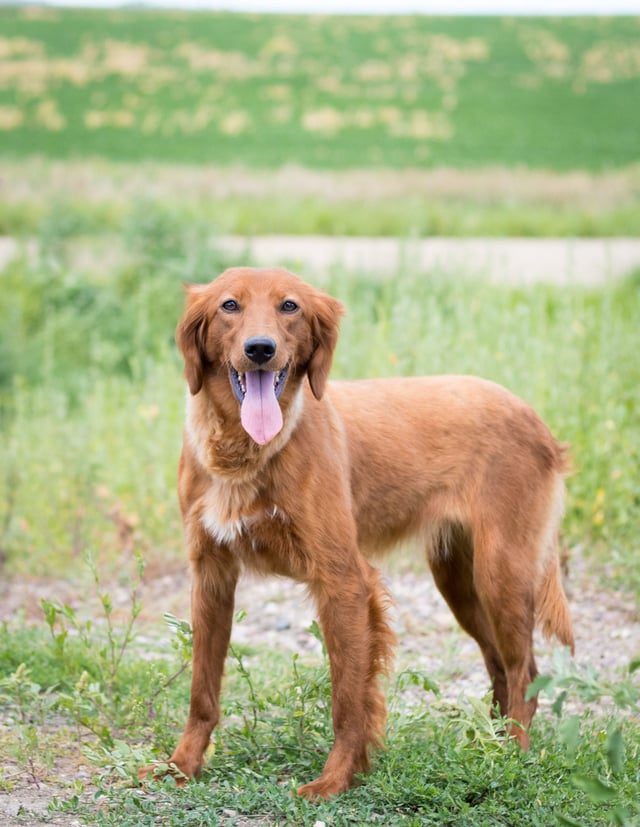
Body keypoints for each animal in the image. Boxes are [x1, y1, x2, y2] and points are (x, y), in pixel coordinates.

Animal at [141, 268, 576, 800]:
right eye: (229, 305)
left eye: (289, 306)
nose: (260, 349)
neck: (247, 453)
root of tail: (533, 416)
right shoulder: (211, 575)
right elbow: (202, 692)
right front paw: (182, 765)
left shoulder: (344, 580)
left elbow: (349, 698)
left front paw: (336, 779)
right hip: (458, 580)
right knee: (499, 667)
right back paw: (486, 746)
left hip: (501, 573)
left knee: (524, 672)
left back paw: (511, 754)